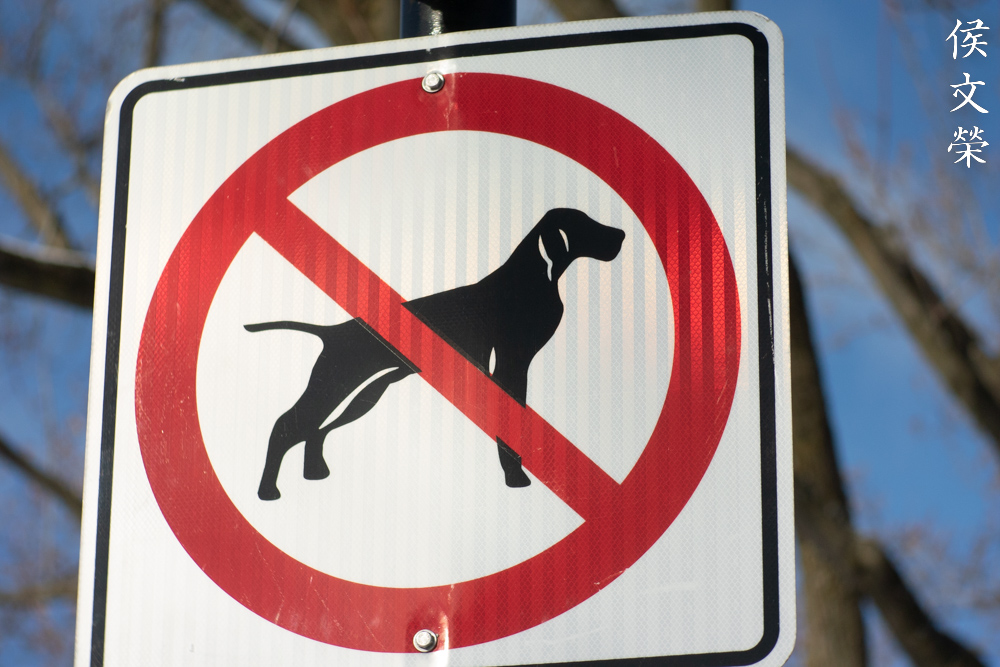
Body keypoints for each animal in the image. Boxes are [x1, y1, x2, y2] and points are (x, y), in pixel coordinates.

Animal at [247, 208, 625, 500]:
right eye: (582, 223)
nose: (621, 234)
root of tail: (333, 331)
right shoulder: (511, 365)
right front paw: (515, 478)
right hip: (336, 384)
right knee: (286, 425)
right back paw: (267, 492)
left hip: (363, 392)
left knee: (316, 430)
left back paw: (315, 473)